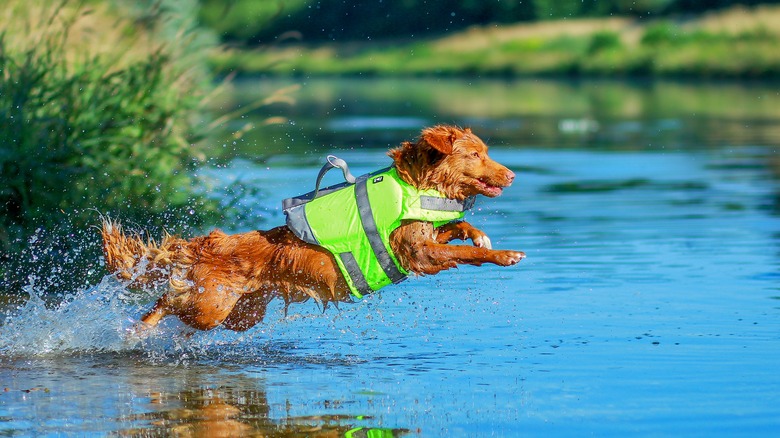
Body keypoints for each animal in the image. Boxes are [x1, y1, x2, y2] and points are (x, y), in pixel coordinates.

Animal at [102, 125, 524, 334]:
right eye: (476, 155)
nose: (512, 175)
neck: (416, 186)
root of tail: (210, 244)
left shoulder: (422, 242)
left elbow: (456, 227)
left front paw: (478, 233)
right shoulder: (419, 254)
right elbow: (462, 252)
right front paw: (504, 254)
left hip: (243, 315)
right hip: (211, 307)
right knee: (168, 300)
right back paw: (138, 328)